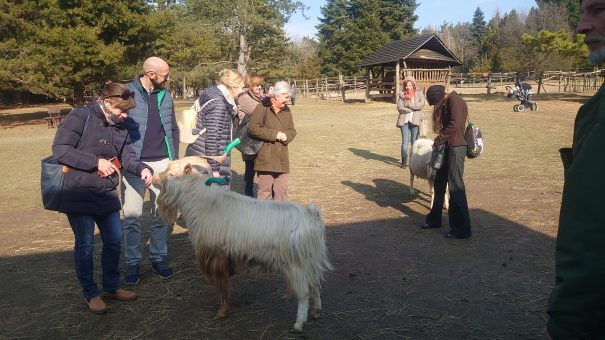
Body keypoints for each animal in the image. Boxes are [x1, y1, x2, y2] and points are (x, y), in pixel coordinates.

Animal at [151, 157, 330, 332]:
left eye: (172, 174)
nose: (154, 178)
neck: (204, 203)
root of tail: (310, 215)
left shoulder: (216, 256)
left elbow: (222, 287)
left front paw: (222, 312)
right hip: (310, 262)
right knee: (315, 286)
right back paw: (316, 312)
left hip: (297, 266)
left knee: (304, 293)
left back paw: (298, 324)